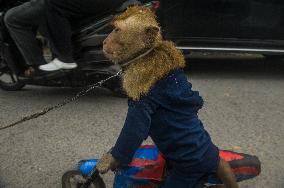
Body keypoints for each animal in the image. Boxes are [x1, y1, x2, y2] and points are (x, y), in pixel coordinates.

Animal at [96, 5, 239, 188]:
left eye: (117, 30)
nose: (104, 41)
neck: (146, 56)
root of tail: (213, 157)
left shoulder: (142, 96)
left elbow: (134, 129)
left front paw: (111, 159)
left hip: (189, 173)